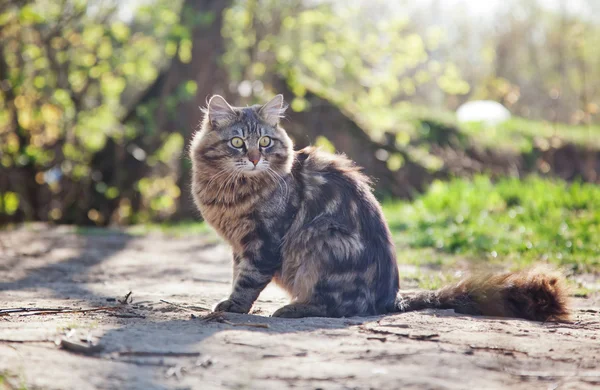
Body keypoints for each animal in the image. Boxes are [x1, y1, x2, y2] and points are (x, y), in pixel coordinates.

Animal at [190, 94, 568, 320]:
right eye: (238, 143)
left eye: (266, 142)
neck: (232, 189)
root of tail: (391, 297)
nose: (255, 158)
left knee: (340, 306)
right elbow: (238, 274)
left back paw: (293, 309)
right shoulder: (239, 243)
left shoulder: (262, 240)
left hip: (320, 237)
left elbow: (249, 280)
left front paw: (232, 308)